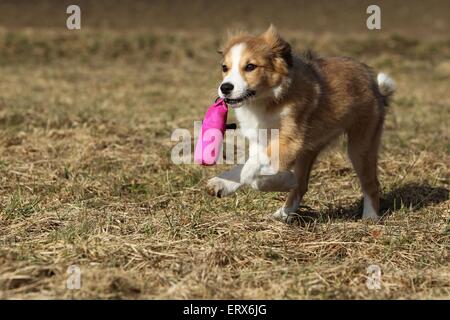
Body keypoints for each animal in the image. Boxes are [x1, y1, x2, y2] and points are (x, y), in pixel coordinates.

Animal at [206, 25, 396, 222]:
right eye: (224, 67)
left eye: (250, 67)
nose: (225, 88)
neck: (267, 101)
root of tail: (375, 86)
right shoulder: (260, 139)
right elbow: (247, 163)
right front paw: (223, 183)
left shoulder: (290, 141)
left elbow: (251, 169)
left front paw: (276, 180)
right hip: (309, 149)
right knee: (302, 184)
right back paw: (284, 213)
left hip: (360, 146)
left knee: (371, 184)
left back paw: (370, 217)